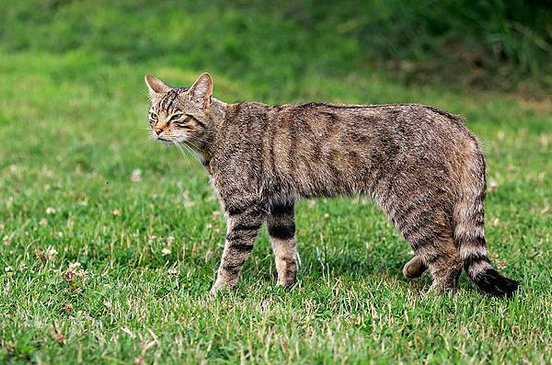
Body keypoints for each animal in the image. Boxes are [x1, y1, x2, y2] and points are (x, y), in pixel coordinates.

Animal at [143, 72, 516, 298]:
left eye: (177, 117)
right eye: (153, 115)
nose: (158, 131)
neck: (218, 133)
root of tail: (459, 126)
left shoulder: (245, 208)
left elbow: (231, 258)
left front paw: (218, 293)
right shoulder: (279, 203)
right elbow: (285, 251)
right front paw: (285, 288)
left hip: (411, 203)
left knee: (450, 255)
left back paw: (435, 296)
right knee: (451, 243)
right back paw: (414, 268)